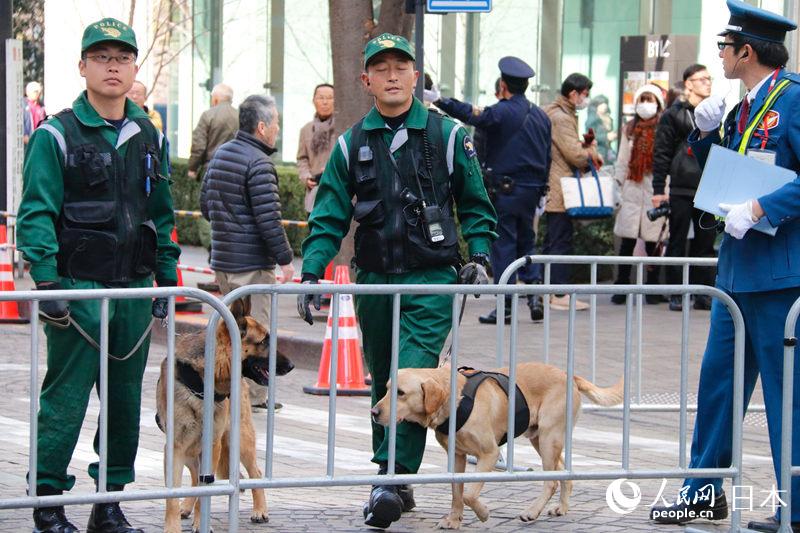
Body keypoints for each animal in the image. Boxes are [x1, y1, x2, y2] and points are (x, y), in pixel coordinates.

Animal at [156, 298, 294, 528]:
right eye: (263, 341)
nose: (292, 365)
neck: (203, 381)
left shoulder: (213, 445)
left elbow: (205, 491)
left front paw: (200, 524)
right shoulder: (175, 448)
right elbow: (172, 496)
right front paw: (173, 527)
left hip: (240, 440)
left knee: (255, 472)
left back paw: (260, 510)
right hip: (190, 450)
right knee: (194, 477)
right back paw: (187, 506)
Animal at [372, 362, 620, 528]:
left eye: (401, 393)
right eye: (387, 388)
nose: (373, 412)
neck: (455, 399)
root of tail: (569, 375)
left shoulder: (489, 454)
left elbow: (469, 495)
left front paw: (482, 513)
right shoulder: (457, 457)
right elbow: (456, 492)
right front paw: (453, 519)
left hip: (549, 438)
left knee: (551, 481)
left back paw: (532, 512)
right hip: (541, 440)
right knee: (564, 472)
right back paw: (562, 507)